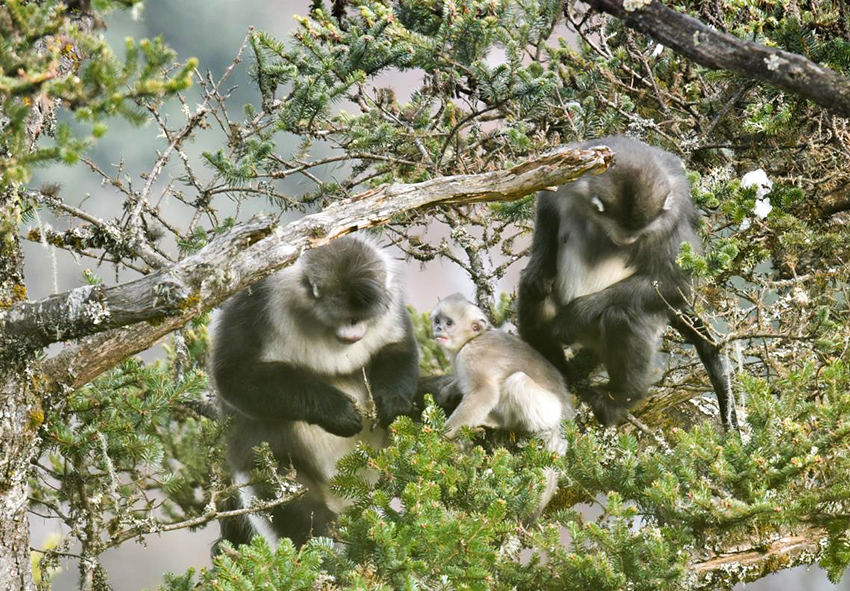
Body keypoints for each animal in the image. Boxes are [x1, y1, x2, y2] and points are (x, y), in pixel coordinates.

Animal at [210, 235, 419, 549]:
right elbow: (234, 374)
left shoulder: (391, 308)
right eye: (345, 316)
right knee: (278, 490)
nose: (354, 331)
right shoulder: (259, 302)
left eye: (361, 317)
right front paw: (337, 412)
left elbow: (398, 347)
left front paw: (393, 401)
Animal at [517, 135, 738, 430]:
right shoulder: (572, 180)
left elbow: (676, 285)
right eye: (623, 229)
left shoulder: (669, 221)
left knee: (621, 316)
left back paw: (620, 398)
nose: (629, 239)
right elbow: (546, 202)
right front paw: (539, 269)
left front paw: (577, 314)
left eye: (637, 231)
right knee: (533, 293)